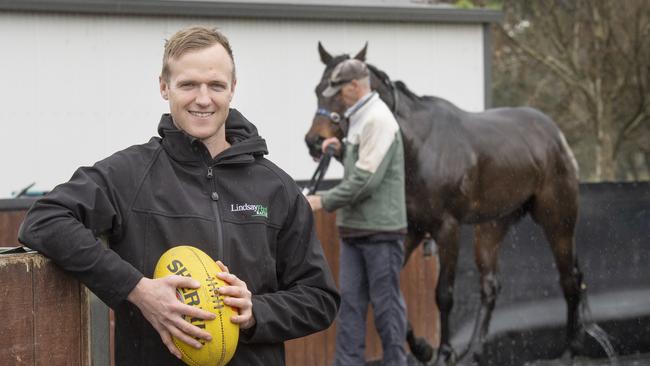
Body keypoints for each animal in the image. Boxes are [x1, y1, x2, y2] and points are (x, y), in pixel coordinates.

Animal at [306, 44, 584, 364]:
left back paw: (570, 351)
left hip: (558, 219)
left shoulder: (446, 228)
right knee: (490, 285)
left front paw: (444, 352)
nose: (315, 141)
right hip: (492, 225)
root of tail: (556, 135)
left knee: (569, 280)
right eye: (318, 90)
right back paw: (474, 351)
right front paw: (423, 348)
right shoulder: (412, 230)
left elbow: (444, 294)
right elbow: (391, 295)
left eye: (341, 92)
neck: (419, 147)